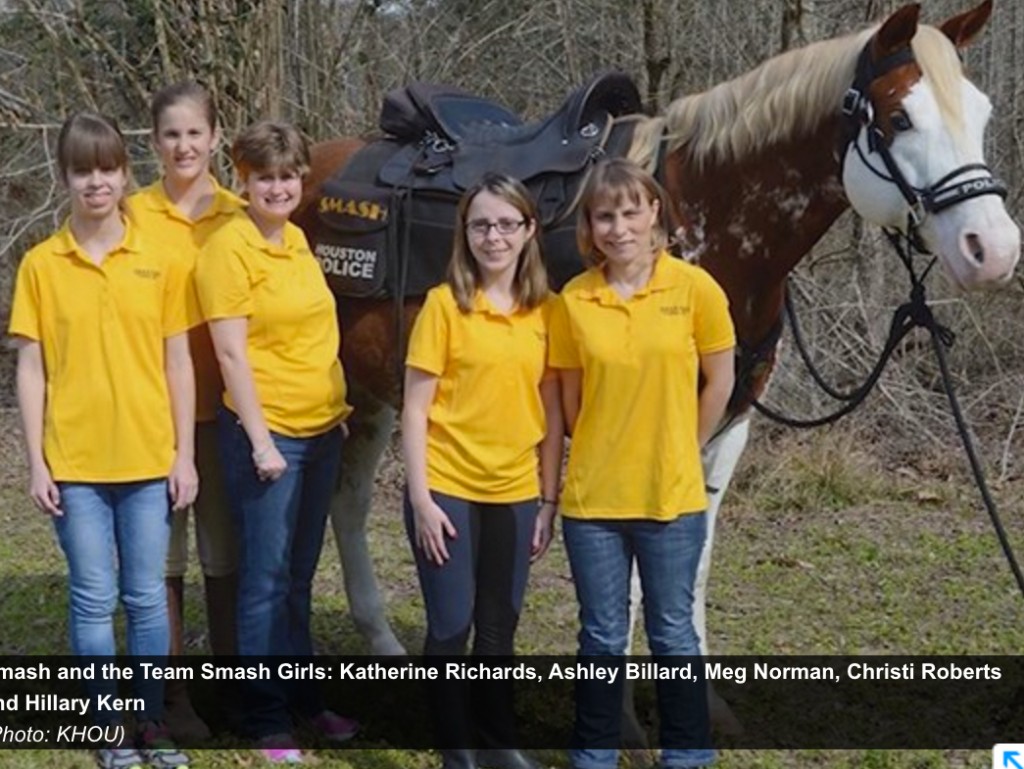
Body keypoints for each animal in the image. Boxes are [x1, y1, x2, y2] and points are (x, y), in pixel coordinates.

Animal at [292, 0, 1019, 679]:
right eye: (899, 120)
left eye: (983, 114)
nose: (994, 249)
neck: (697, 220)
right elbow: (638, 577)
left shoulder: (725, 428)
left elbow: (689, 567)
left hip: (378, 393)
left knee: (347, 504)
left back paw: (383, 641)